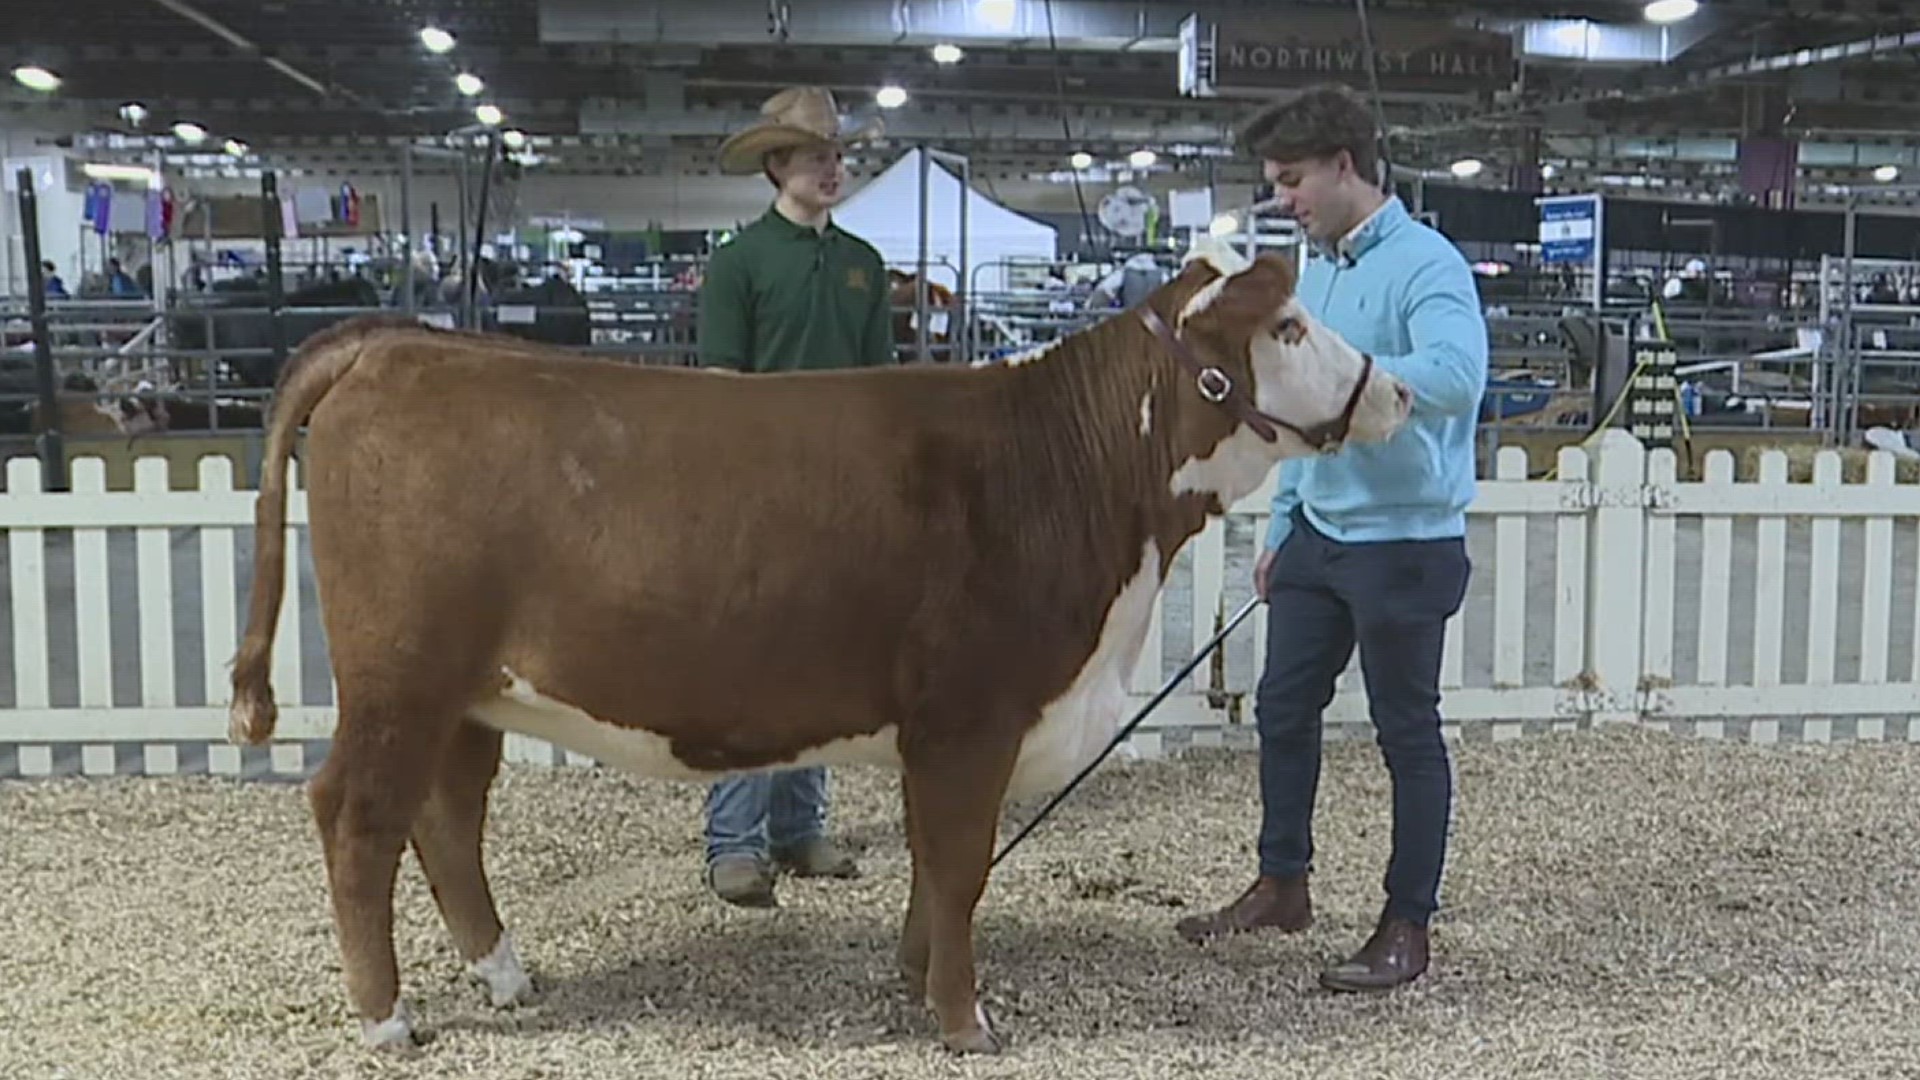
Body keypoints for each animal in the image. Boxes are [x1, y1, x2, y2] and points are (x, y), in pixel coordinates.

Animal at [232, 239, 1420, 1045]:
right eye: (1289, 328)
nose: (1403, 390)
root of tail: (398, 345)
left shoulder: (944, 730)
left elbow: (938, 870)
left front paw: (913, 978)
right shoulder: (971, 715)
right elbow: (960, 863)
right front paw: (966, 1019)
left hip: (471, 693)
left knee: (447, 817)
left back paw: (508, 975)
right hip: (399, 677)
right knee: (358, 819)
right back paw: (388, 1020)